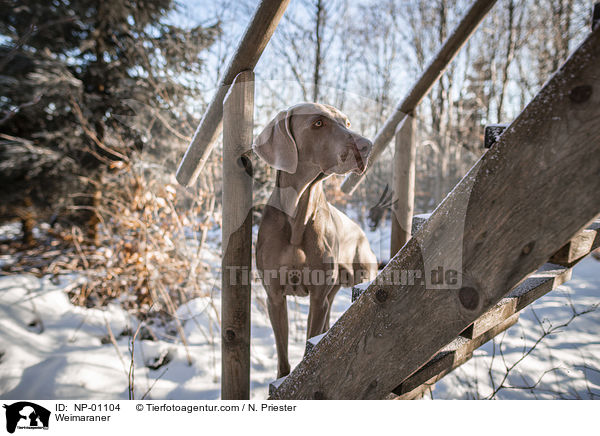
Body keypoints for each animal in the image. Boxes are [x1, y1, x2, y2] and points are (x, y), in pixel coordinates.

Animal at [252, 103, 376, 378]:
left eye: (347, 123)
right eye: (318, 123)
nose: (367, 145)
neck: (298, 215)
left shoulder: (318, 297)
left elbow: (311, 344)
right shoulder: (274, 296)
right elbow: (283, 355)